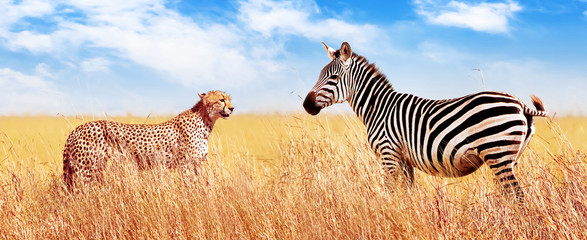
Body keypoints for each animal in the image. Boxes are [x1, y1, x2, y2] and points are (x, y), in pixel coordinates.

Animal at [63, 91, 234, 188]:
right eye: (221, 100)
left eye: (229, 99)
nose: (232, 108)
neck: (205, 120)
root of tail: (78, 129)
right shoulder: (186, 164)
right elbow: (190, 185)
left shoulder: (198, 162)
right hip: (85, 170)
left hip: (95, 167)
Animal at [306, 42, 548, 202]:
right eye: (319, 75)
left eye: (333, 78)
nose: (306, 105)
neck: (378, 108)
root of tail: (519, 103)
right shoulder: (404, 159)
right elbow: (407, 195)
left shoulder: (388, 154)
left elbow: (390, 193)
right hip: (509, 157)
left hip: (497, 153)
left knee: (518, 196)